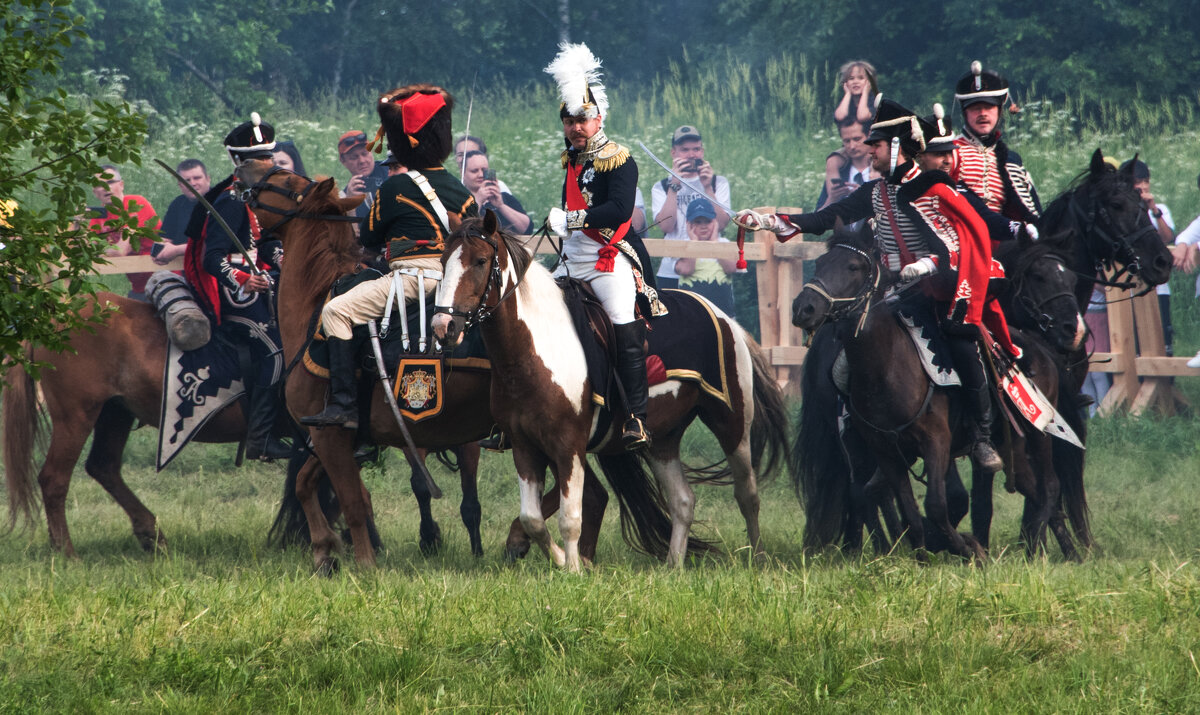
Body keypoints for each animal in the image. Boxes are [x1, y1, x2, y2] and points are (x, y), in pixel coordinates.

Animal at [429, 211, 787, 568]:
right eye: (443, 261)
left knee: (747, 494)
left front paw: (573, 568)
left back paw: (758, 558)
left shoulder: (568, 445)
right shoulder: (524, 445)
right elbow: (532, 519)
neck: (535, 348)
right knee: (683, 500)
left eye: (480, 261)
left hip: (732, 423)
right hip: (662, 438)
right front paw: (563, 560)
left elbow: (571, 517)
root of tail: (725, 319)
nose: (444, 327)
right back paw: (673, 565)